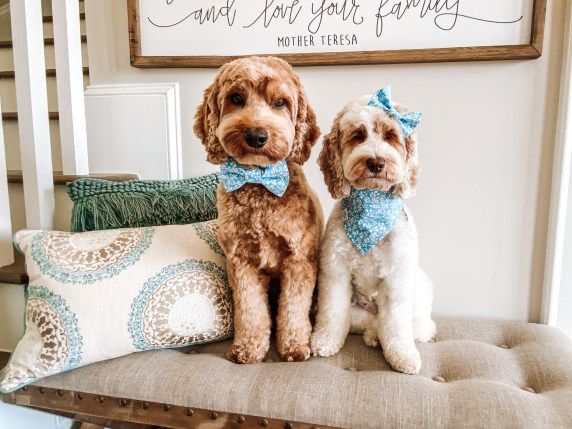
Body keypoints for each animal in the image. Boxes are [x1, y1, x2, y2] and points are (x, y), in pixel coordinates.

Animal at [310, 94, 436, 374]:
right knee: (367, 325)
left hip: (419, 286)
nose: (376, 162)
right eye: (358, 135)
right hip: (357, 313)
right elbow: (331, 312)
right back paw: (373, 336)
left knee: (421, 327)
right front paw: (324, 341)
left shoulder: (398, 278)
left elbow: (397, 328)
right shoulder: (335, 271)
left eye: (391, 135)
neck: (370, 206)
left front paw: (403, 356)